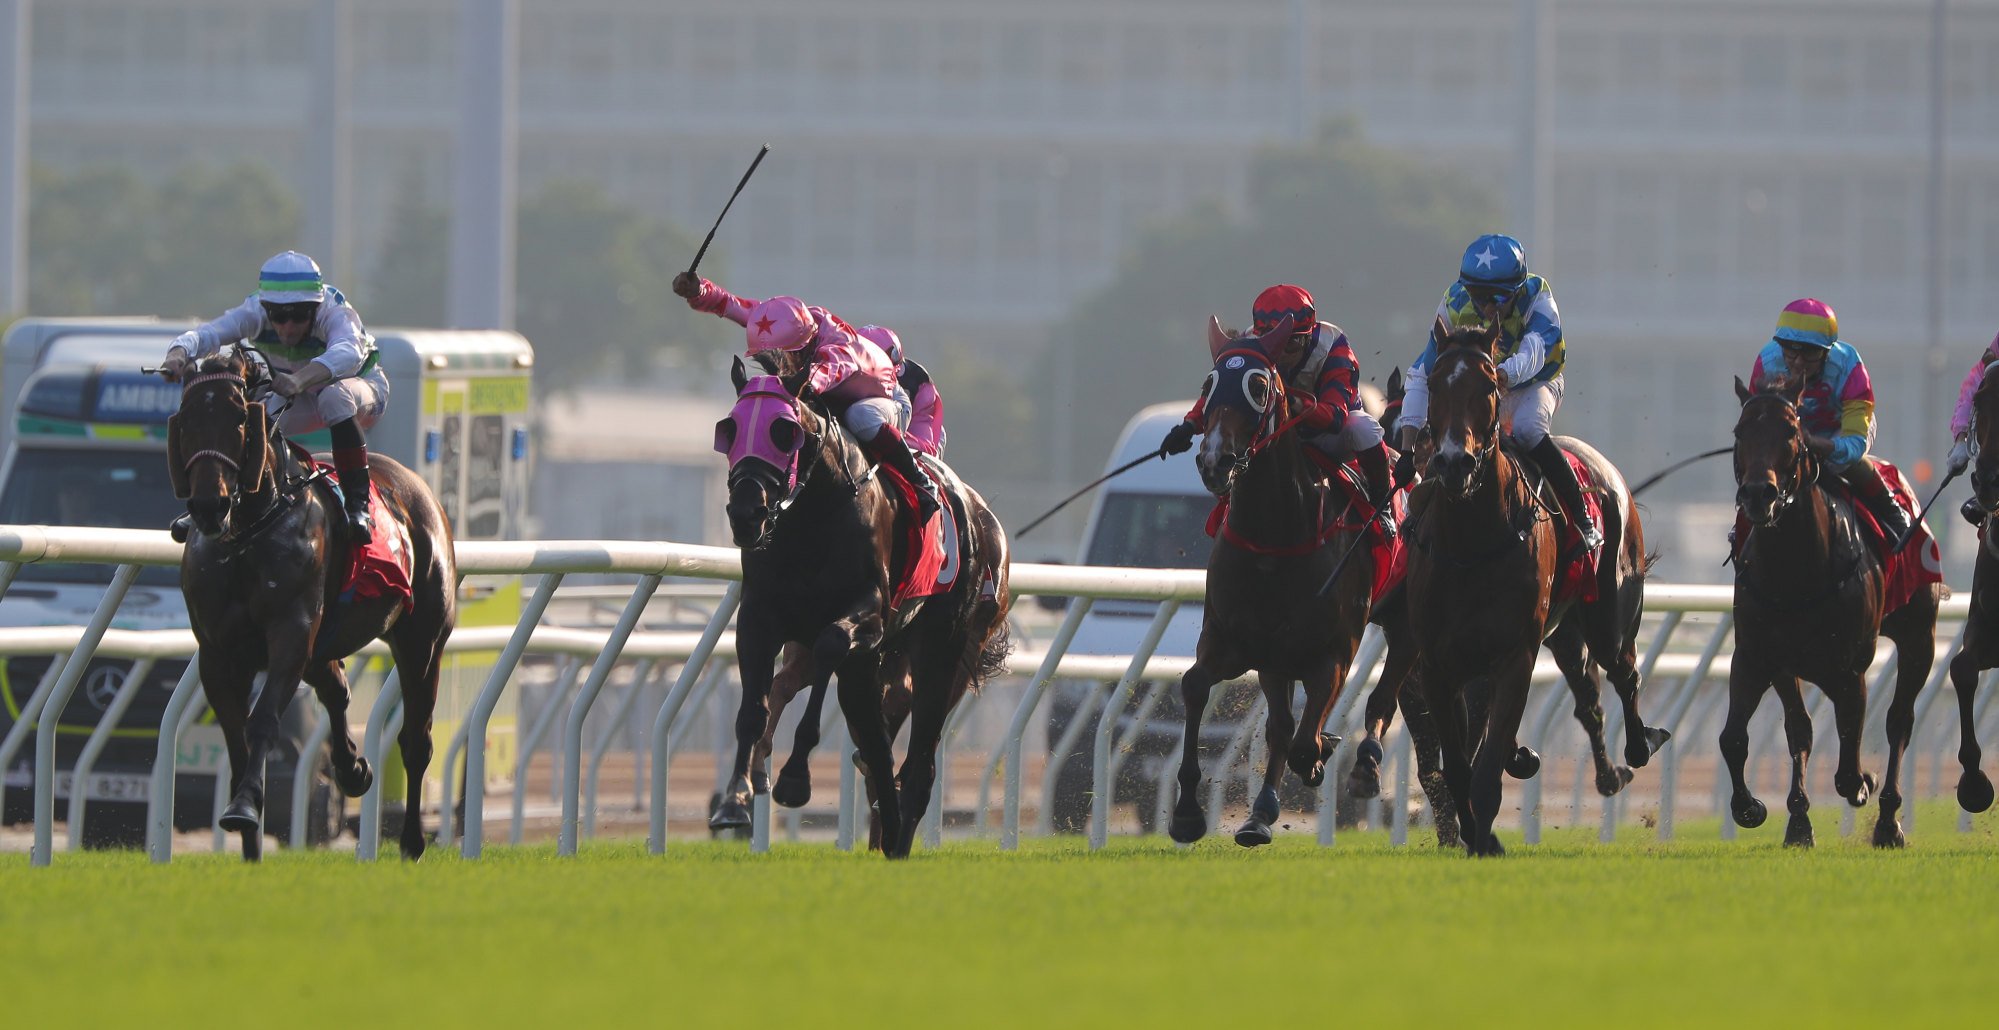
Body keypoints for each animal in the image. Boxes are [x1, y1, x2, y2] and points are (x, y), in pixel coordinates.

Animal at [167, 348, 457, 864]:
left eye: (239, 418)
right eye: (186, 418)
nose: (207, 506)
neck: (248, 531)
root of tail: (418, 488)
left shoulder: (291, 633)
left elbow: (263, 721)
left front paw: (244, 805)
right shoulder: (218, 653)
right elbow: (237, 741)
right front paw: (248, 841)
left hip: (421, 640)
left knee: (416, 740)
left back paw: (411, 841)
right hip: (327, 642)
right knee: (337, 691)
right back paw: (353, 769)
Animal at [711, 358, 1007, 860]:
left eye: (784, 432)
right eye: (728, 430)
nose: (747, 513)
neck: (812, 517)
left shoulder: (866, 616)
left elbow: (831, 644)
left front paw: (794, 778)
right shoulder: (759, 618)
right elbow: (754, 708)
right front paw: (736, 798)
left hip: (944, 648)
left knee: (919, 759)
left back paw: (899, 836)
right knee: (877, 744)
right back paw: (885, 828)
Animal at [1167, 318, 1383, 852]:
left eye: (1259, 386)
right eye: (1207, 385)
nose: (1215, 461)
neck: (1274, 541)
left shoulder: (1334, 653)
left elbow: (1306, 741)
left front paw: (1322, 753)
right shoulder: (1234, 641)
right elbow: (1195, 686)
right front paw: (1186, 812)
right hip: (1275, 660)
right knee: (1281, 726)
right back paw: (1258, 816)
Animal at [1727, 370, 1943, 848]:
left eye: (1791, 432)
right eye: (1740, 431)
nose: (1759, 494)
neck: (1796, 573)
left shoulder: (1849, 666)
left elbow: (1847, 765)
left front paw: (1865, 782)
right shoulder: (1760, 655)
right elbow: (1753, 735)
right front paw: (1770, 814)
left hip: (1919, 637)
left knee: (1899, 721)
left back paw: (1888, 822)